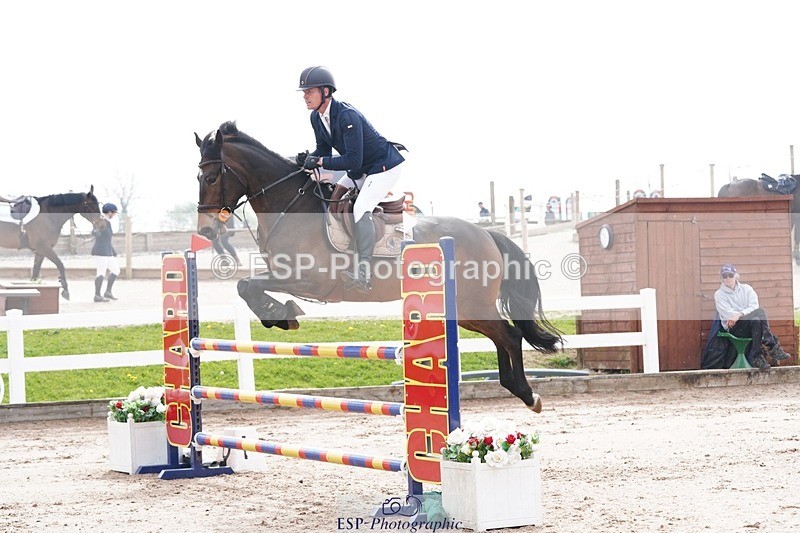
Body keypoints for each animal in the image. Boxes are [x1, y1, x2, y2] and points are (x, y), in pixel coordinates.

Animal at [194, 122, 562, 413]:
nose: (206, 231)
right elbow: (246, 286)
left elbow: (250, 285)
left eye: (211, 177)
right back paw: (517, 389)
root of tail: (486, 233)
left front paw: (282, 314)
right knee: (503, 336)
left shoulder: (310, 280)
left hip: (473, 303)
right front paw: (280, 315)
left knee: (511, 335)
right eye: (199, 176)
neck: (290, 206)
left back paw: (528, 394)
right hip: (462, 309)